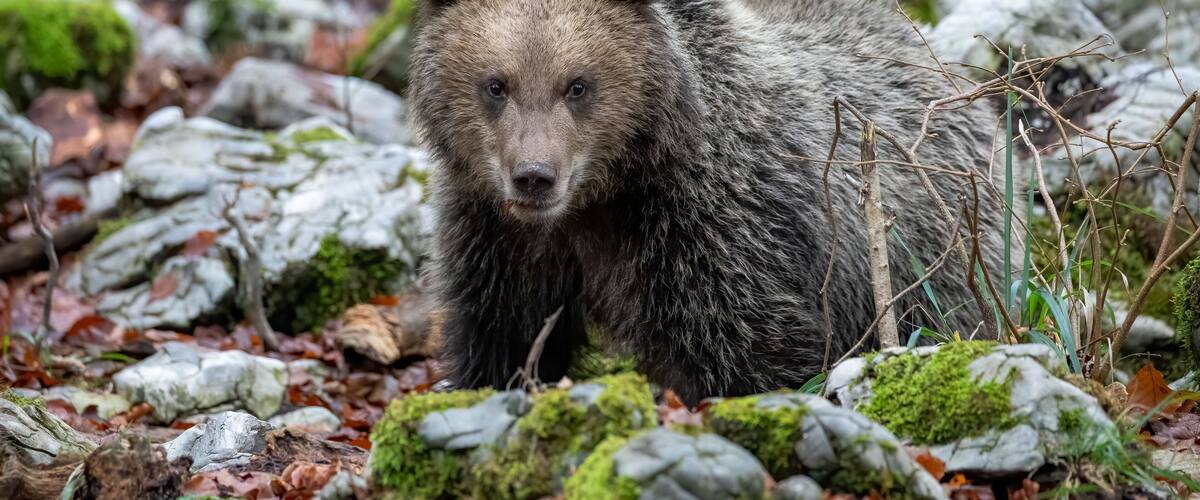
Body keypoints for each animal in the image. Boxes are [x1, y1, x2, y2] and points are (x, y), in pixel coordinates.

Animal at [410, 0, 1013, 403]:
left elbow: (748, 349)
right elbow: (501, 332)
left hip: (933, 255)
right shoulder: (499, 236)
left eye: (577, 84)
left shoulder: (715, 228)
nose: (534, 177)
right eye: (496, 84)